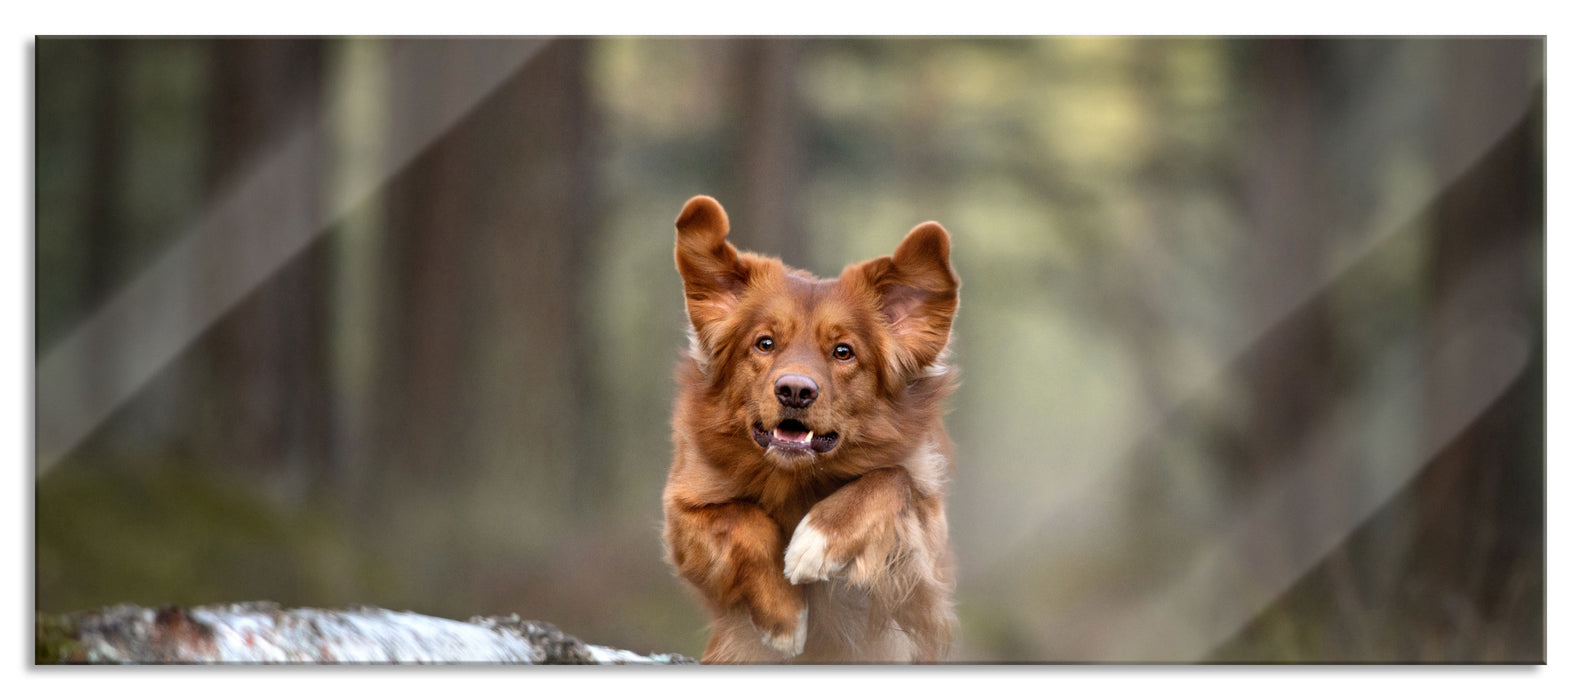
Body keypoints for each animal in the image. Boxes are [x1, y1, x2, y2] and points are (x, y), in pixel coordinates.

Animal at [661, 195, 955, 661]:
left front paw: (817, 540)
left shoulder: (925, 585)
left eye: (843, 351)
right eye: (764, 343)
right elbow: (743, 519)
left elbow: (892, 478)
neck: (795, 478)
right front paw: (785, 617)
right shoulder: (683, 511)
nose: (795, 391)